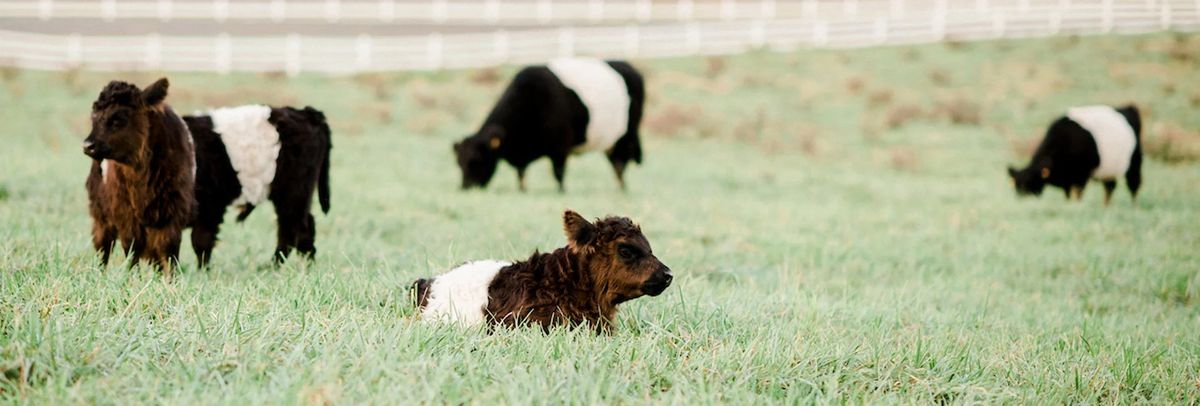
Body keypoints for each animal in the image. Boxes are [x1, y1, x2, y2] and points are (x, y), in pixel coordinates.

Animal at [83, 77, 194, 277]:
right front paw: (132, 277)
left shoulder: (173, 210)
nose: (88, 145)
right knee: (103, 246)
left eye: (118, 119)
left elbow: (169, 249)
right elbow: (132, 247)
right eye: (94, 117)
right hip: (100, 213)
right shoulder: (125, 212)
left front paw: (171, 280)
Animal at [182, 104, 333, 266]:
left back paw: (274, 266)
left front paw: (202, 270)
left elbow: (201, 241)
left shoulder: (210, 206)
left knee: (292, 229)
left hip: (293, 192)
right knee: (304, 228)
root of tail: (307, 113)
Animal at [451, 57, 648, 193]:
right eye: (459, 163)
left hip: (625, 139)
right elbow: (521, 174)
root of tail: (628, 67)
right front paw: (522, 189)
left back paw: (621, 189)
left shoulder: (560, 148)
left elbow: (558, 173)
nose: (465, 187)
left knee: (619, 165)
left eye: (476, 160)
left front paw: (561, 191)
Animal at [1008, 104, 1137, 204]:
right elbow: (1068, 196)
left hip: (1134, 161)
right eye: (1017, 187)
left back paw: (1133, 206)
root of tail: (1128, 107)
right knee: (1110, 187)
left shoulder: (1081, 176)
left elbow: (1078, 195)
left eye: (1030, 183)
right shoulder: (1068, 181)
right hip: (1109, 171)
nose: (1022, 200)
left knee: (1133, 184)